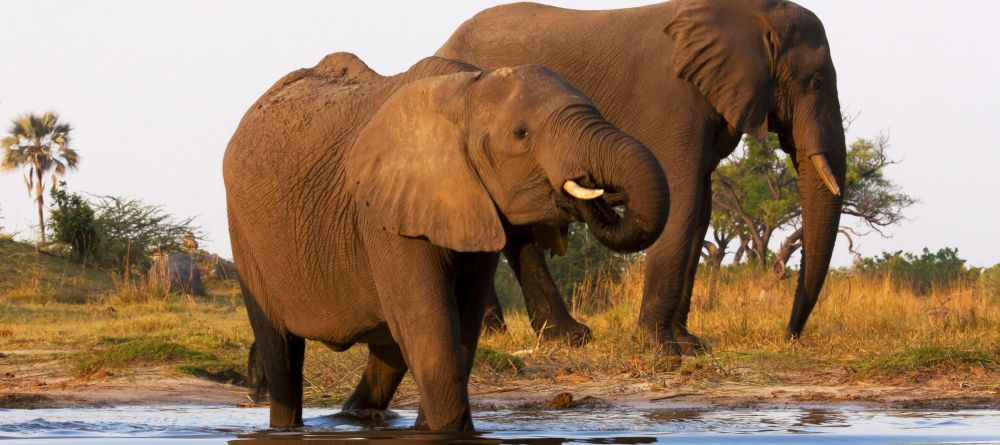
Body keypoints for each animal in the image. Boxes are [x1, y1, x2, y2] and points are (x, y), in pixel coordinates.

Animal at [223, 52, 669, 430]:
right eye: (522, 134)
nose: (589, 189)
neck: (467, 92)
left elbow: (460, 327)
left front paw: (432, 430)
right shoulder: (385, 217)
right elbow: (431, 328)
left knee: (388, 355)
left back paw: (355, 418)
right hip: (244, 233)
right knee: (281, 355)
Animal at [436, 0, 847, 353]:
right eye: (817, 81)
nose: (788, 335)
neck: (748, 12)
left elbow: (700, 211)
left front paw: (690, 345)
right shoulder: (674, 100)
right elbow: (683, 199)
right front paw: (662, 348)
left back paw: (506, 333)